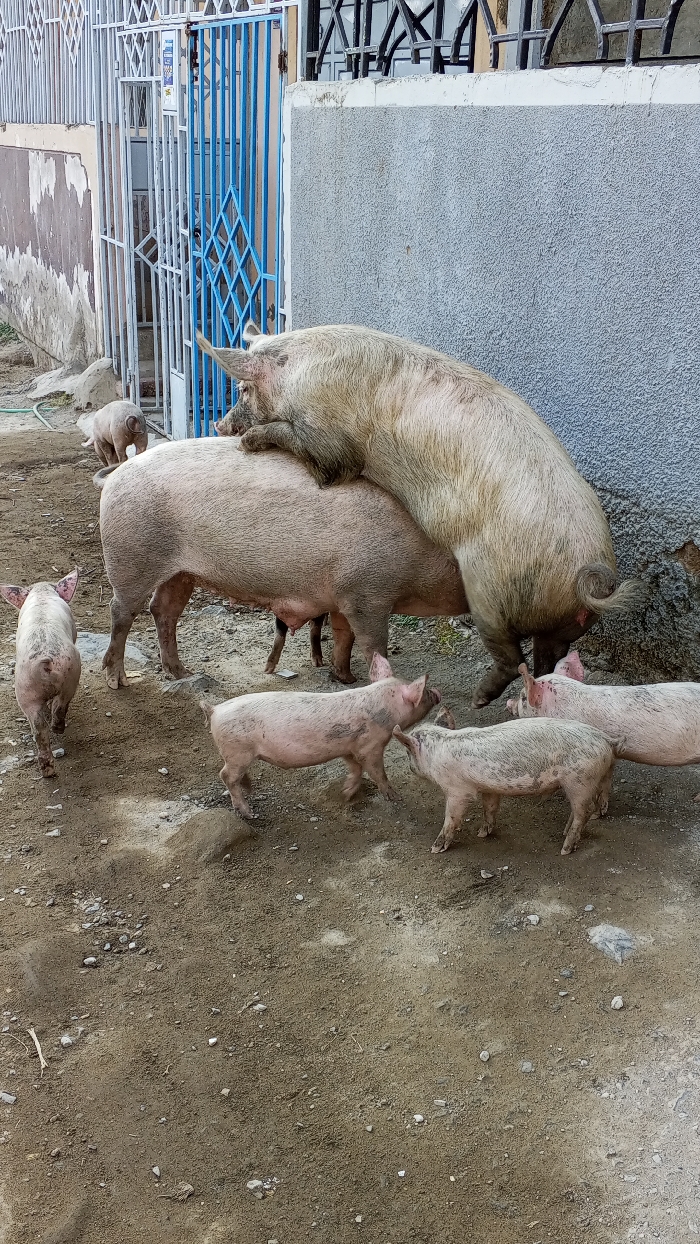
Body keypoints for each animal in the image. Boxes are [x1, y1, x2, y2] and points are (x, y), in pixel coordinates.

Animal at [0, 570, 81, 777]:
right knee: (58, 707)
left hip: (26, 686)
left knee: (38, 725)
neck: (42, 593)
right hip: (70, 673)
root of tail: (45, 660)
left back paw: (48, 771)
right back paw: (57, 731)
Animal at [95, 439, 467, 690]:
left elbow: (343, 636)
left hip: (181, 572)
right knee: (122, 611)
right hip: (131, 556)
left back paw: (182, 673)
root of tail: (118, 472)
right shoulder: (368, 592)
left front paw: (344, 677)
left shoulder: (343, 595)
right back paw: (118, 681)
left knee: (163, 609)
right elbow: (373, 645)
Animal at [196, 324, 639, 708]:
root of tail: (586, 576)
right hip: (560, 626)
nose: (219, 424)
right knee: (548, 659)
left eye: (243, 388)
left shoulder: (328, 440)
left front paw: (251, 442)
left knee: (512, 656)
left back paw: (478, 700)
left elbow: (328, 465)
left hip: (489, 589)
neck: (296, 375)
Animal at [201, 653, 441, 817]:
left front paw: (346, 794)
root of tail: (214, 709)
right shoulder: (371, 745)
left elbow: (356, 769)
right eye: (424, 693)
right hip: (237, 750)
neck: (384, 711)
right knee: (226, 775)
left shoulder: (348, 748)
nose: (437, 693)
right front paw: (395, 797)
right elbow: (376, 771)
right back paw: (248, 812)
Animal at [392, 714, 621, 855]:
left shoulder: (457, 790)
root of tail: (607, 740)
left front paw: (435, 849)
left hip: (580, 780)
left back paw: (565, 848)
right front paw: (482, 833)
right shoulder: (489, 789)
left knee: (585, 811)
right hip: (591, 779)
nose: (410, 768)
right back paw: (564, 832)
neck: (435, 754)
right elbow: (490, 808)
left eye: (407, 751)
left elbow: (451, 818)